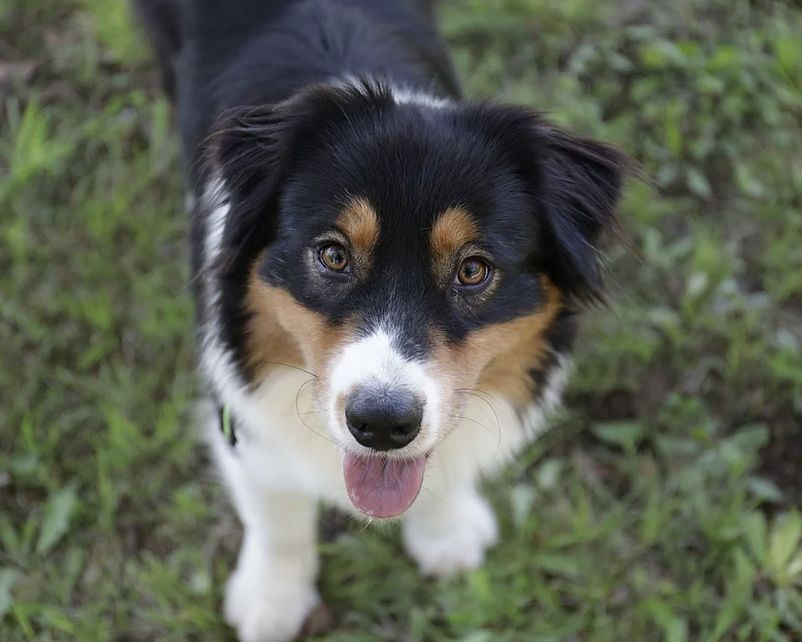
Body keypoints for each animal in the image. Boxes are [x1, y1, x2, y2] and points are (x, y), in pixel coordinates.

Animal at [134, 2, 628, 636]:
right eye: (333, 255)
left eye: (474, 269)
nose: (383, 425)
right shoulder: (239, 403)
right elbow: (274, 504)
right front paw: (272, 599)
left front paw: (446, 534)